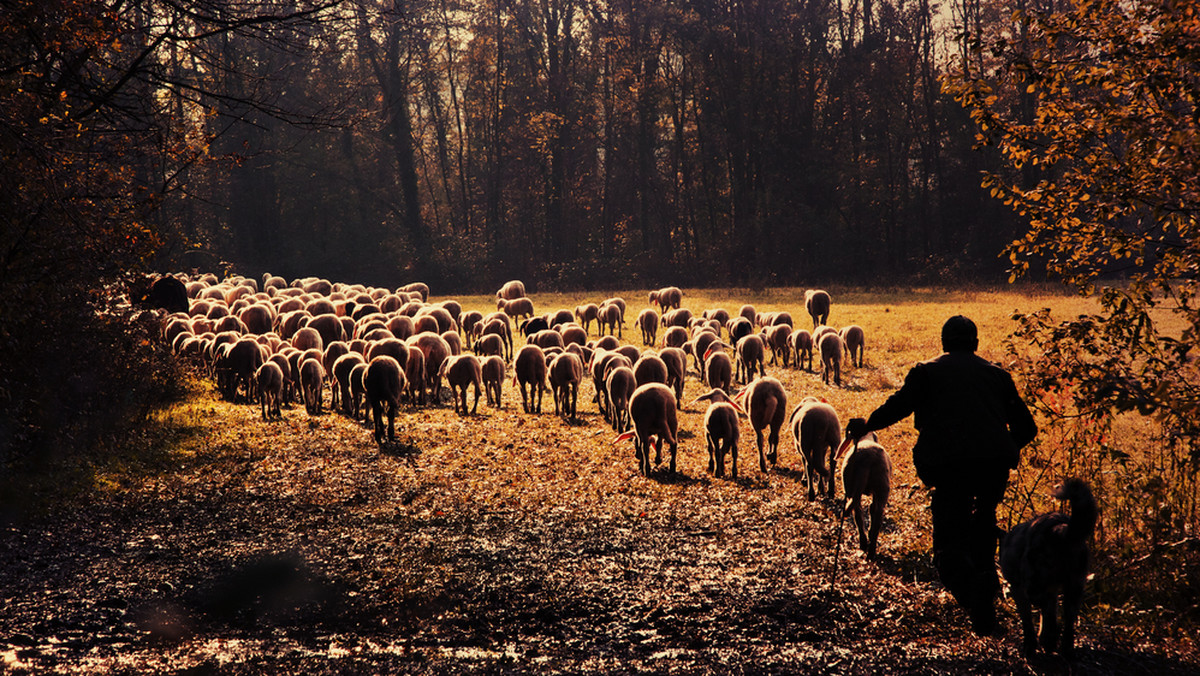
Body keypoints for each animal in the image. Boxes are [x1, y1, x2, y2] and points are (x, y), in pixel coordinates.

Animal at [1003, 477, 1099, 657]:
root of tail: (1060, 529)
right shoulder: (1051, 590)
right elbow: (1047, 617)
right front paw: (1047, 641)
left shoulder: (1021, 590)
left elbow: (1029, 620)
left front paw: (1032, 646)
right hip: (1074, 586)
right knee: (1068, 618)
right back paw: (1065, 648)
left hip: (1035, 587)